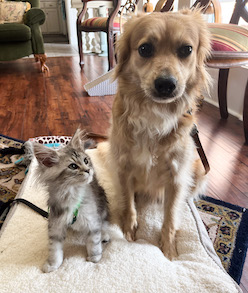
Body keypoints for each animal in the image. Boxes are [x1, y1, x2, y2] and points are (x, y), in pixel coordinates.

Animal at [32, 129, 110, 272]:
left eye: (86, 160)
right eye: (73, 166)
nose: (88, 170)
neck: (70, 193)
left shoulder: (92, 220)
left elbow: (94, 241)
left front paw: (94, 257)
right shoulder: (55, 225)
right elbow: (54, 249)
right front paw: (52, 264)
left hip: (102, 200)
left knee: (105, 220)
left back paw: (105, 234)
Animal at [109, 10, 211, 258]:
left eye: (186, 49)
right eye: (145, 49)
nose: (166, 84)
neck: (154, 114)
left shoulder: (177, 178)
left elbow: (170, 217)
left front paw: (169, 248)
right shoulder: (123, 168)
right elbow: (129, 205)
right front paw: (129, 230)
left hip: (198, 171)